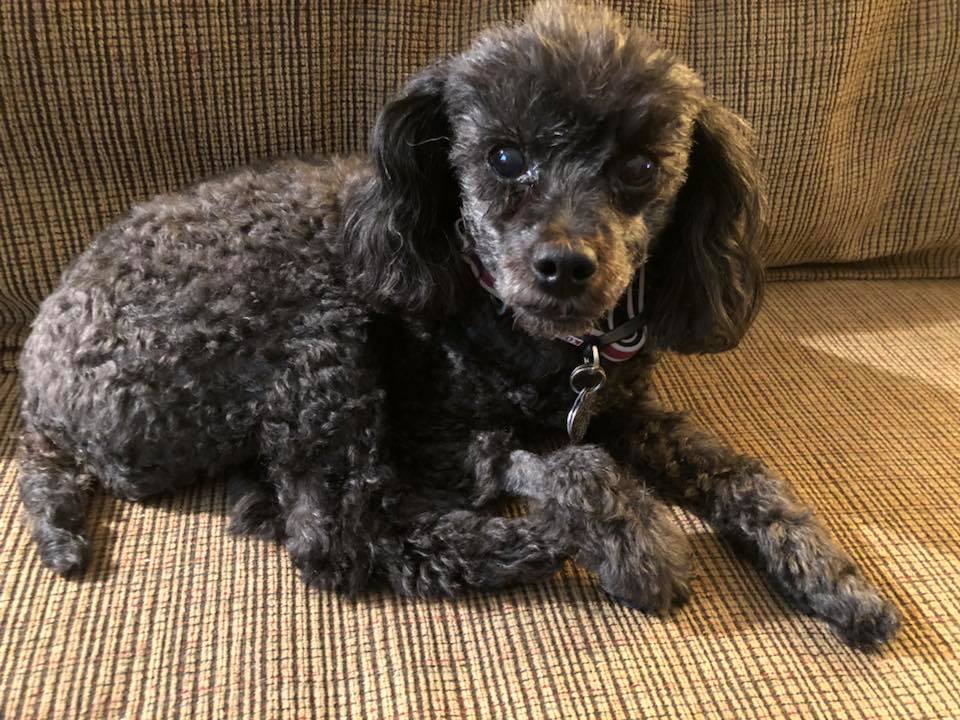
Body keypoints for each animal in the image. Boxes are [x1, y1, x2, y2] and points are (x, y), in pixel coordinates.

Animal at [15, 0, 900, 648]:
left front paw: (830, 575)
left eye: (640, 168)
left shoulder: (621, 410)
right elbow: (570, 468)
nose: (564, 265)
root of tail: (38, 391)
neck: (540, 347)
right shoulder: (439, 435)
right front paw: (638, 543)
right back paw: (534, 549)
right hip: (317, 325)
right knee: (336, 538)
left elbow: (737, 472)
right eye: (505, 158)